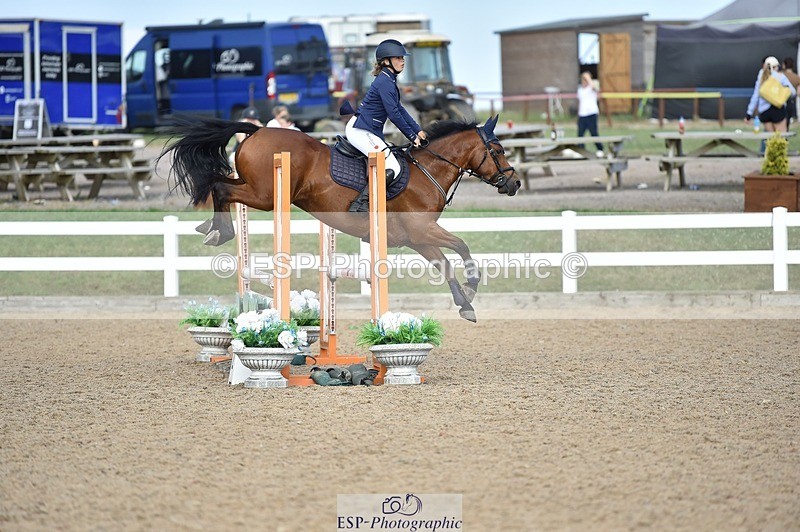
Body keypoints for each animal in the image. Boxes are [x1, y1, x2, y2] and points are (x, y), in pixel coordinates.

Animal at [159, 115, 520, 322]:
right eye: (498, 150)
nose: (514, 183)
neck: (427, 171)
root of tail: (257, 131)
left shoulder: (417, 239)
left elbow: (445, 264)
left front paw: (465, 304)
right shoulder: (423, 230)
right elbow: (462, 247)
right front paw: (472, 288)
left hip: (256, 189)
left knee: (219, 184)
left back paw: (210, 227)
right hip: (265, 196)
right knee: (220, 188)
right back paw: (218, 231)